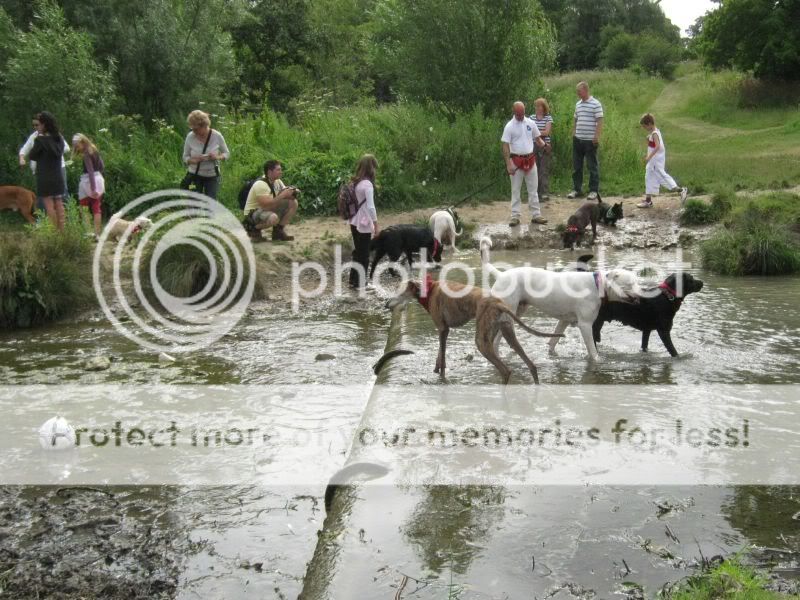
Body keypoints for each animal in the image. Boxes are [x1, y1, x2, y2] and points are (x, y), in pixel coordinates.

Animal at [386, 274, 564, 382]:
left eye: (399, 293)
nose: (386, 305)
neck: (429, 289)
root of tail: (497, 303)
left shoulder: (443, 329)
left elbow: (442, 361)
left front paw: (441, 379)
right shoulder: (444, 330)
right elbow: (439, 358)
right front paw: (435, 372)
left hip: (482, 341)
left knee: (506, 371)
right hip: (508, 333)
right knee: (531, 366)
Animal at [478, 238, 640, 360]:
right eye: (630, 284)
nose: (640, 296)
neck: (598, 284)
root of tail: (500, 275)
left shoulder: (564, 321)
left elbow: (553, 341)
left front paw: (552, 355)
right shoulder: (585, 325)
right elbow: (593, 352)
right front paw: (598, 361)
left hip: (517, 312)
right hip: (508, 313)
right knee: (495, 340)